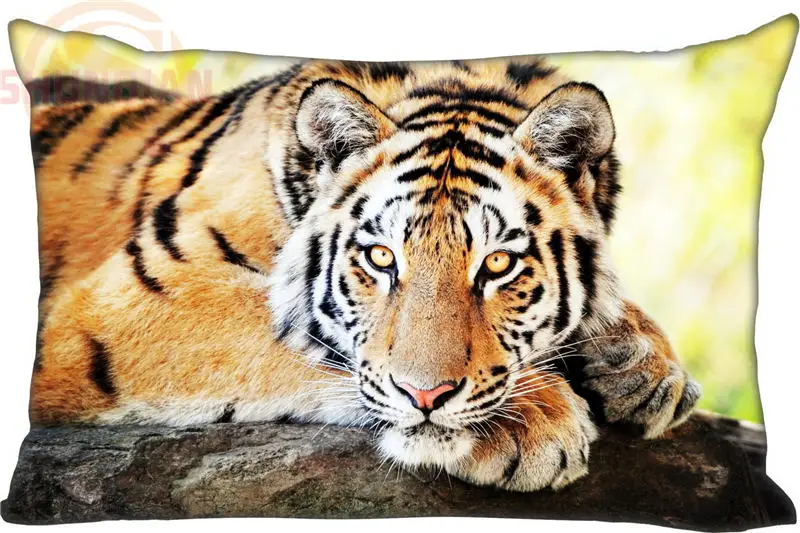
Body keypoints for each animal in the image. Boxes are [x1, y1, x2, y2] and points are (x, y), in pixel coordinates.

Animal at [28, 58, 701, 492]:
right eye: (381, 258)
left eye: (498, 264)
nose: (427, 398)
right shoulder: (137, 294)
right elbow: (305, 335)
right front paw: (532, 419)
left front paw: (644, 365)